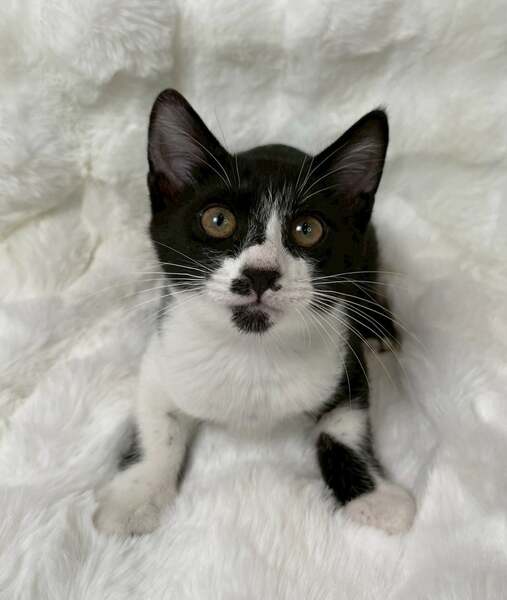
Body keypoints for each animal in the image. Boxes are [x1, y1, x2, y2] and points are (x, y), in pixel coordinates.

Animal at [93, 89, 416, 536]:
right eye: (217, 220)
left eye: (307, 229)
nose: (260, 273)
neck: (251, 350)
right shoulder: (163, 352)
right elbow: (157, 424)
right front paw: (135, 495)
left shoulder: (344, 357)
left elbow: (343, 427)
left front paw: (375, 498)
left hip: (368, 247)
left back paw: (381, 329)